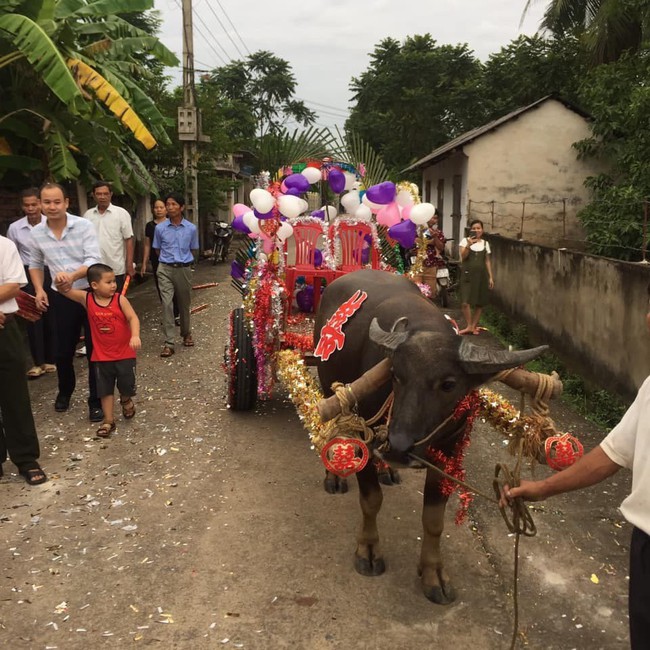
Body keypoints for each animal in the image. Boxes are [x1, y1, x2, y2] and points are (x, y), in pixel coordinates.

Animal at [312, 270, 540, 604]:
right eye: (396, 375)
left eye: (448, 384)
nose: (398, 447)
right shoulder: (366, 434)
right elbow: (371, 500)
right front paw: (368, 549)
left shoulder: (449, 452)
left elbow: (433, 520)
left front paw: (433, 573)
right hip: (330, 386)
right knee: (332, 428)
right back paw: (334, 475)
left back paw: (387, 471)